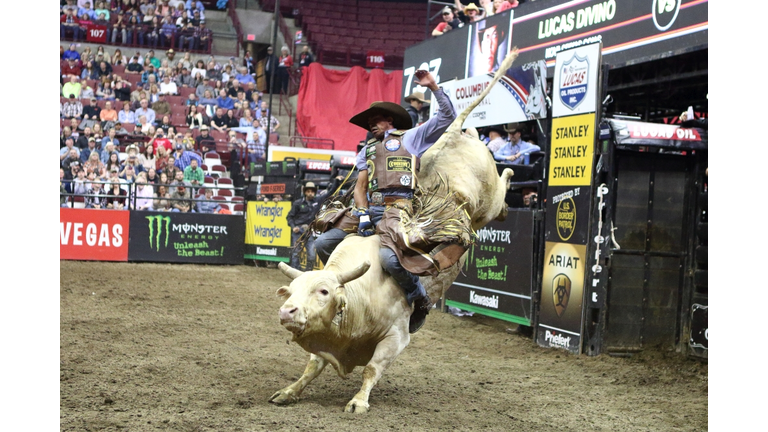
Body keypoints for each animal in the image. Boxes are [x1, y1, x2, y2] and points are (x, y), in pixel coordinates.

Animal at [272, 48, 520, 412]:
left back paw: (509, 175)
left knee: (501, 188)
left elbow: (372, 368)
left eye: (324, 291)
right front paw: (289, 391)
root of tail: (453, 132)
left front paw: (358, 402)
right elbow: (313, 365)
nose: (287, 311)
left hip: (488, 204)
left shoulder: (396, 337)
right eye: (290, 291)